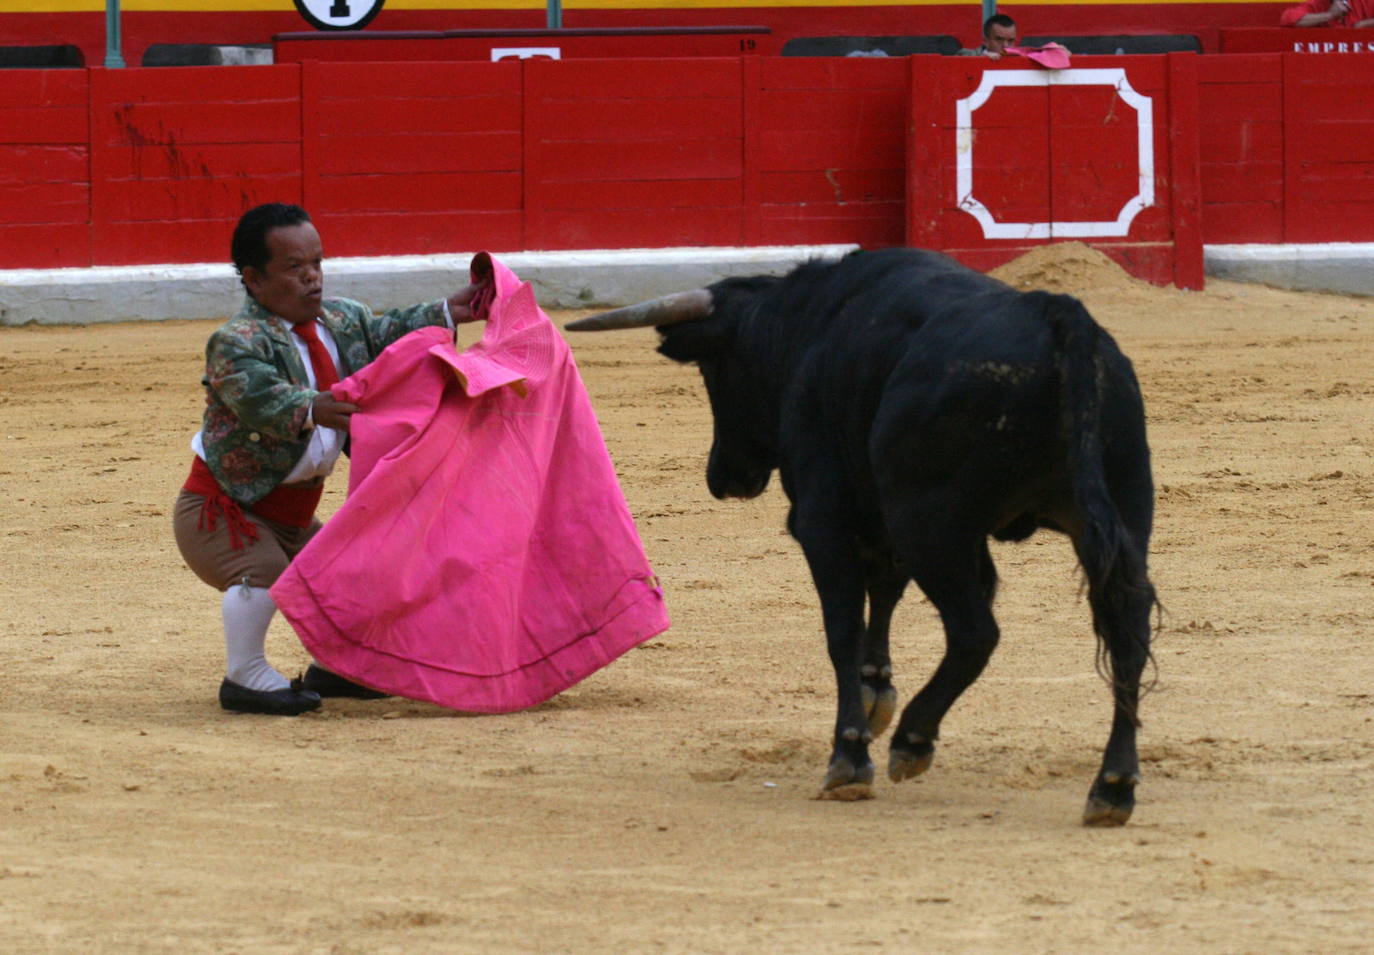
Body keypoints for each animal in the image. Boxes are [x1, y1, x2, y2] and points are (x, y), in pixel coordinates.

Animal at [568, 248, 1159, 829]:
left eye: (715, 369)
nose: (726, 476)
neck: (804, 325)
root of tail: (1060, 321)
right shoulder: (885, 516)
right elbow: (886, 590)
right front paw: (877, 690)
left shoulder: (823, 520)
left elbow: (843, 629)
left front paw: (851, 753)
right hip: (1122, 513)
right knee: (1128, 634)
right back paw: (1113, 785)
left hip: (931, 524)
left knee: (975, 633)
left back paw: (913, 740)